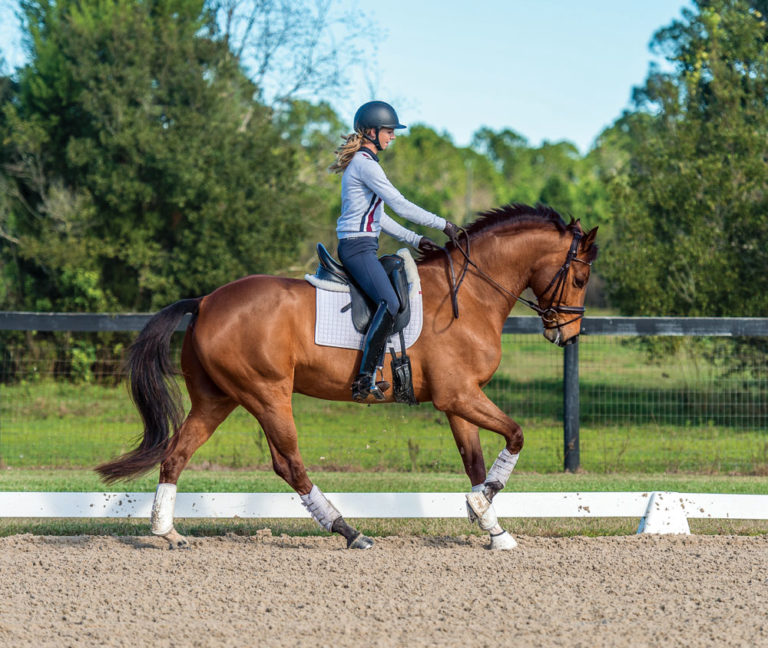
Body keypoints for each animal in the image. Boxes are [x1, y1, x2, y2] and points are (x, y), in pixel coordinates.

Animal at [96, 203, 598, 550]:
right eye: (579, 277)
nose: (568, 335)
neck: (472, 293)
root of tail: (205, 301)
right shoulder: (459, 396)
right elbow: (516, 435)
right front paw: (483, 510)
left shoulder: (460, 400)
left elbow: (475, 464)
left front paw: (494, 530)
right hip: (266, 393)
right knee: (288, 464)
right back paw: (349, 531)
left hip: (217, 399)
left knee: (176, 455)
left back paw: (168, 533)